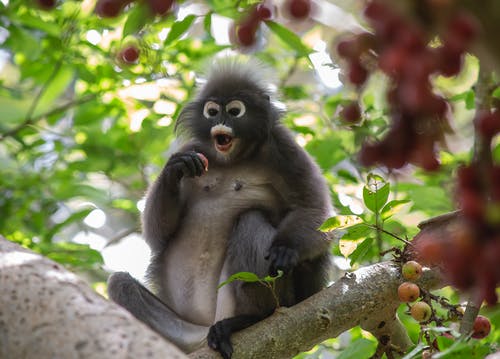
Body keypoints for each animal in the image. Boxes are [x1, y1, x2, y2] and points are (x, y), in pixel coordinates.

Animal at [109, 57, 334, 358]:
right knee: (119, 284)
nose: (221, 123)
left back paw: (248, 320)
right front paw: (174, 169)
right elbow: (157, 235)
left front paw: (286, 248)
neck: (232, 159)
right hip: (182, 332)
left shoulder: (284, 148)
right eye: (212, 111)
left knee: (251, 220)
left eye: (235, 111)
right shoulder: (195, 147)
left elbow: (316, 211)